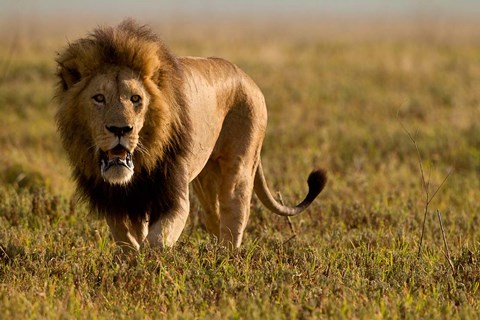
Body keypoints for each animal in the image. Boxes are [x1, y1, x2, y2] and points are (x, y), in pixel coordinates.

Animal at [55, 20, 326, 251]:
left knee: (234, 217)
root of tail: (247, 77)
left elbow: (156, 240)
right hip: (205, 180)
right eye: (99, 98)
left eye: (136, 99)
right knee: (216, 220)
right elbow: (128, 242)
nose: (121, 129)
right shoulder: (118, 202)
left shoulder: (174, 197)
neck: (142, 162)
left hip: (238, 168)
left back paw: (229, 262)